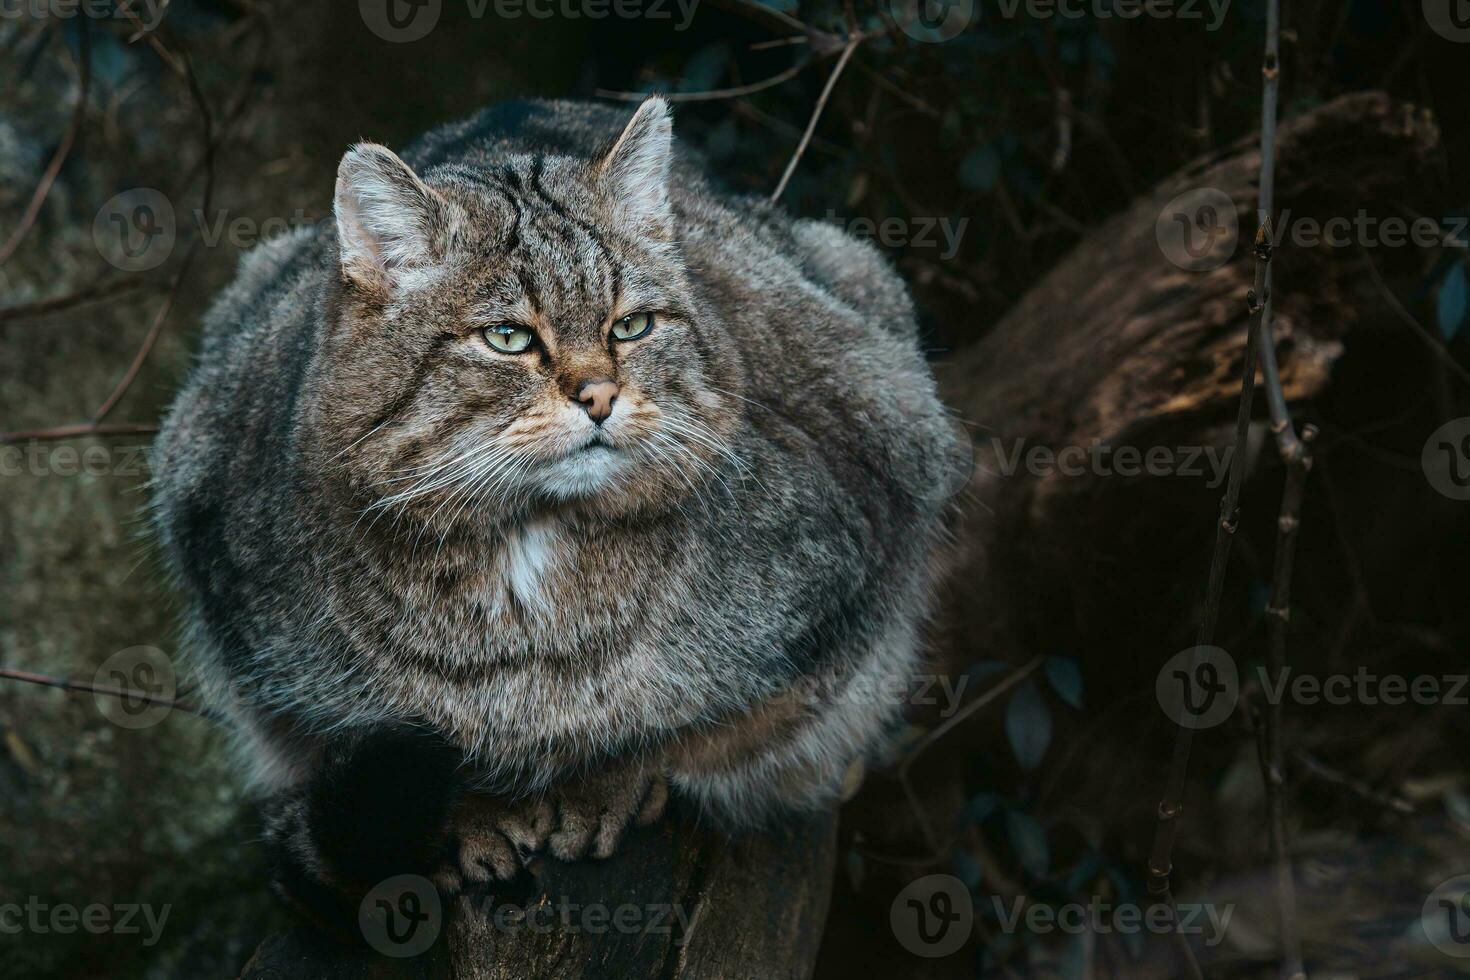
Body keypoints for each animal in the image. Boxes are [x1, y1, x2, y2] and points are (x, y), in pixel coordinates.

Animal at [149, 94, 952, 922]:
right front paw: (470, 818)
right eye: (508, 337)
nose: (600, 395)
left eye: (631, 326)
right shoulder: (258, 644)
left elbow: (692, 726)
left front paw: (607, 781)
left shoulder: (860, 546)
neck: (529, 549)